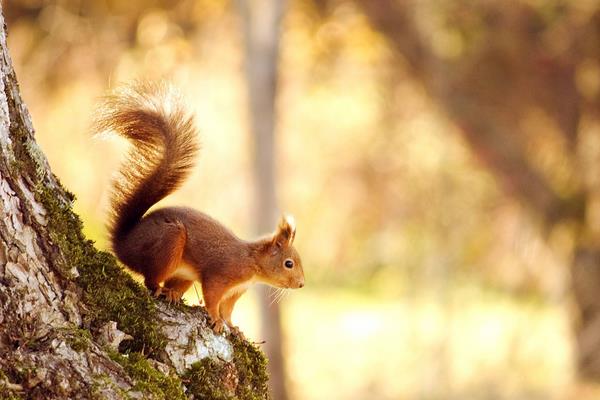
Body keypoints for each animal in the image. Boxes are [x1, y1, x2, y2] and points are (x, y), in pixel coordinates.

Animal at [96, 82, 308, 334]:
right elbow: (213, 298)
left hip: (183, 273)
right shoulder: (220, 275)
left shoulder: (236, 291)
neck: (251, 262)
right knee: (150, 279)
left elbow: (228, 309)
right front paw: (215, 320)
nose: (301, 284)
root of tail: (123, 244)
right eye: (289, 263)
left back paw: (172, 293)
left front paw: (233, 328)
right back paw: (160, 289)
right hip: (169, 242)